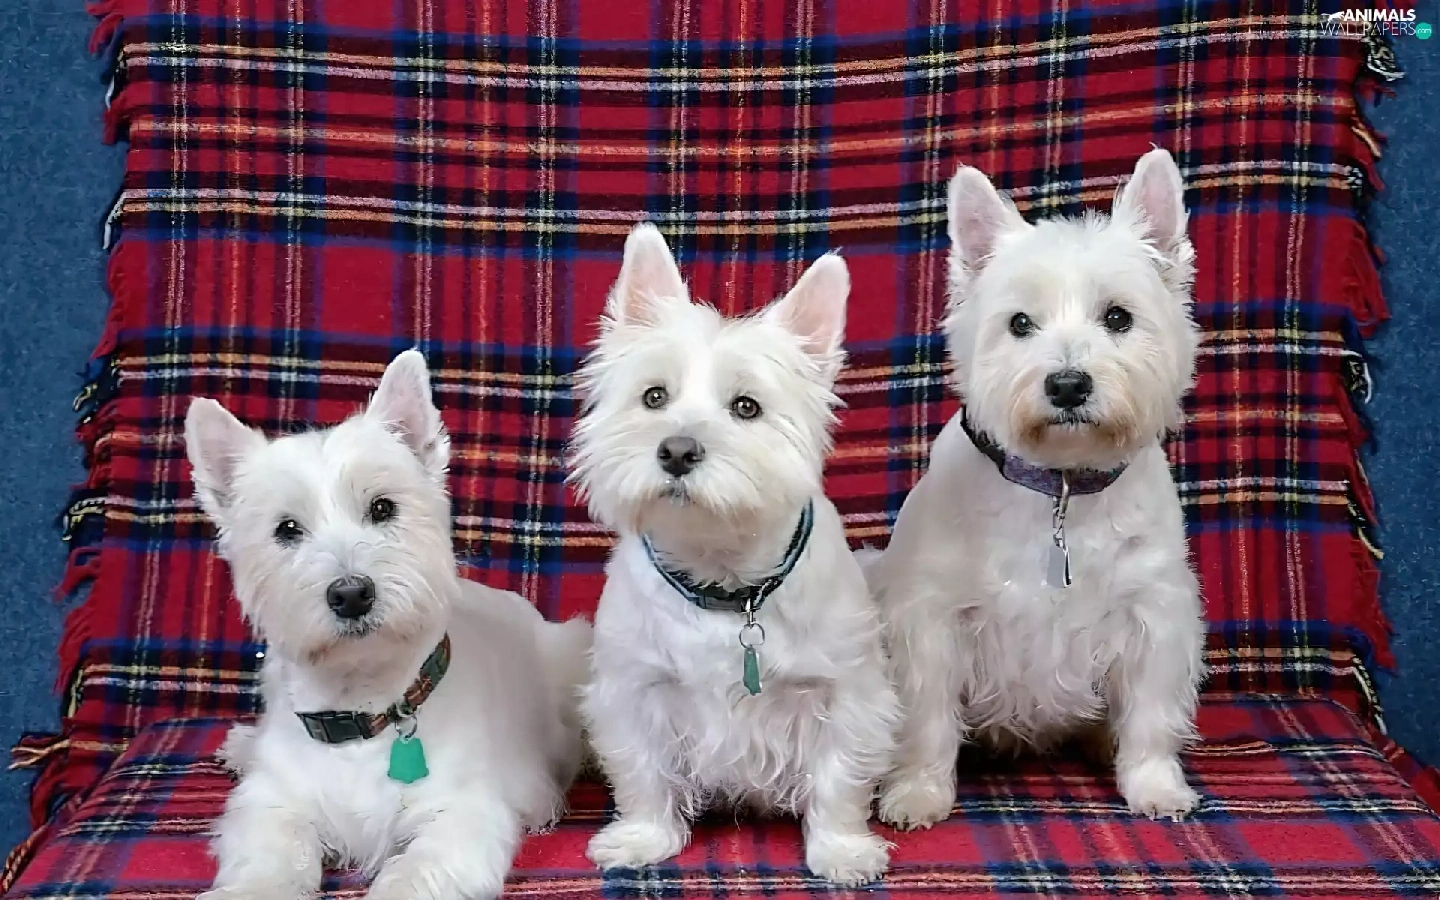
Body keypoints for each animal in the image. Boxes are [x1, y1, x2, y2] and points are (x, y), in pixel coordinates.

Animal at [187, 350, 591, 900]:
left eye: (382, 507)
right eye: (286, 528)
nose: (351, 594)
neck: (363, 709)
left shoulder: (463, 816)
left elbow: (415, 873)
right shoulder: (272, 805)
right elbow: (267, 858)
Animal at [570, 224, 898, 886]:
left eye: (747, 406)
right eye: (653, 396)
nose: (676, 450)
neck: (723, 579)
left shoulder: (847, 691)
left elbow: (840, 776)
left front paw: (842, 851)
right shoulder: (633, 687)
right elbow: (641, 771)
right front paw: (642, 839)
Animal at [868, 148, 1205, 828]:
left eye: (1118, 317)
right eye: (1019, 323)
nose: (1068, 384)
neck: (1060, 490)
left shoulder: (1155, 610)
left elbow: (1151, 714)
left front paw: (1155, 787)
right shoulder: (931, 616)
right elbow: (926, 717)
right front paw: (916, 793)